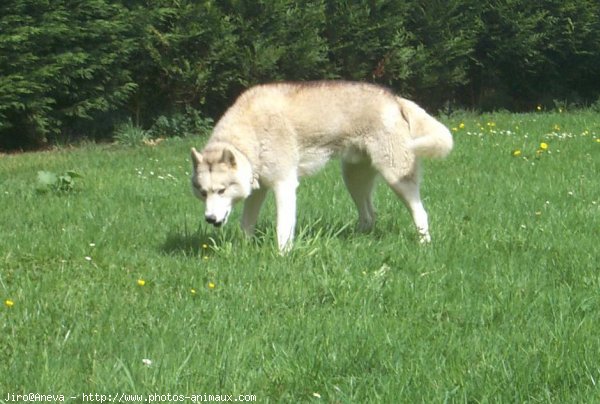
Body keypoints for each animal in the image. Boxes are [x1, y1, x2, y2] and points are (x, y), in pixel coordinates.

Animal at [190, 81, 452, 252]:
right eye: (203, 193)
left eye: (221, 190)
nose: (210, 219)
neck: (250, 135)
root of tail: (394, 98)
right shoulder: (259, 189)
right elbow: (246, 223)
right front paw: (243, 248)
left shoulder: (284, 185)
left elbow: (282, 229)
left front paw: (283, 256)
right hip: (353, 179)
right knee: (369, 215)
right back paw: (357, 240)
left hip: (396, 177)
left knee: (420, 212)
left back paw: (424, 244)